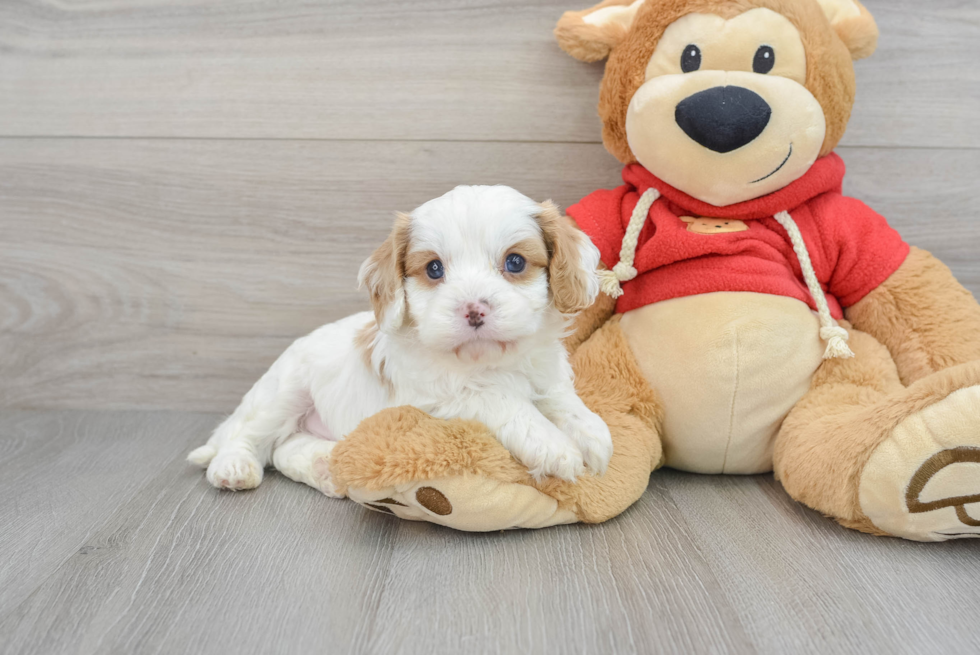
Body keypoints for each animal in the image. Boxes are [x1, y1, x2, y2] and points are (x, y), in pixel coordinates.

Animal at [187, 186, 608, 498]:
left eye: (515, 262)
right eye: (434, 268)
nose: (473, 310)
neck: (488, 361)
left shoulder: (545, 375)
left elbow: (563, 401)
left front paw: (592, 432)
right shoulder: (438, 399)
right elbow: (502, 401)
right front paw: (553, 445)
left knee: (284, 447)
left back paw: (326, 467)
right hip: (284, 390)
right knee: (251, 437)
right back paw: (234, 467)